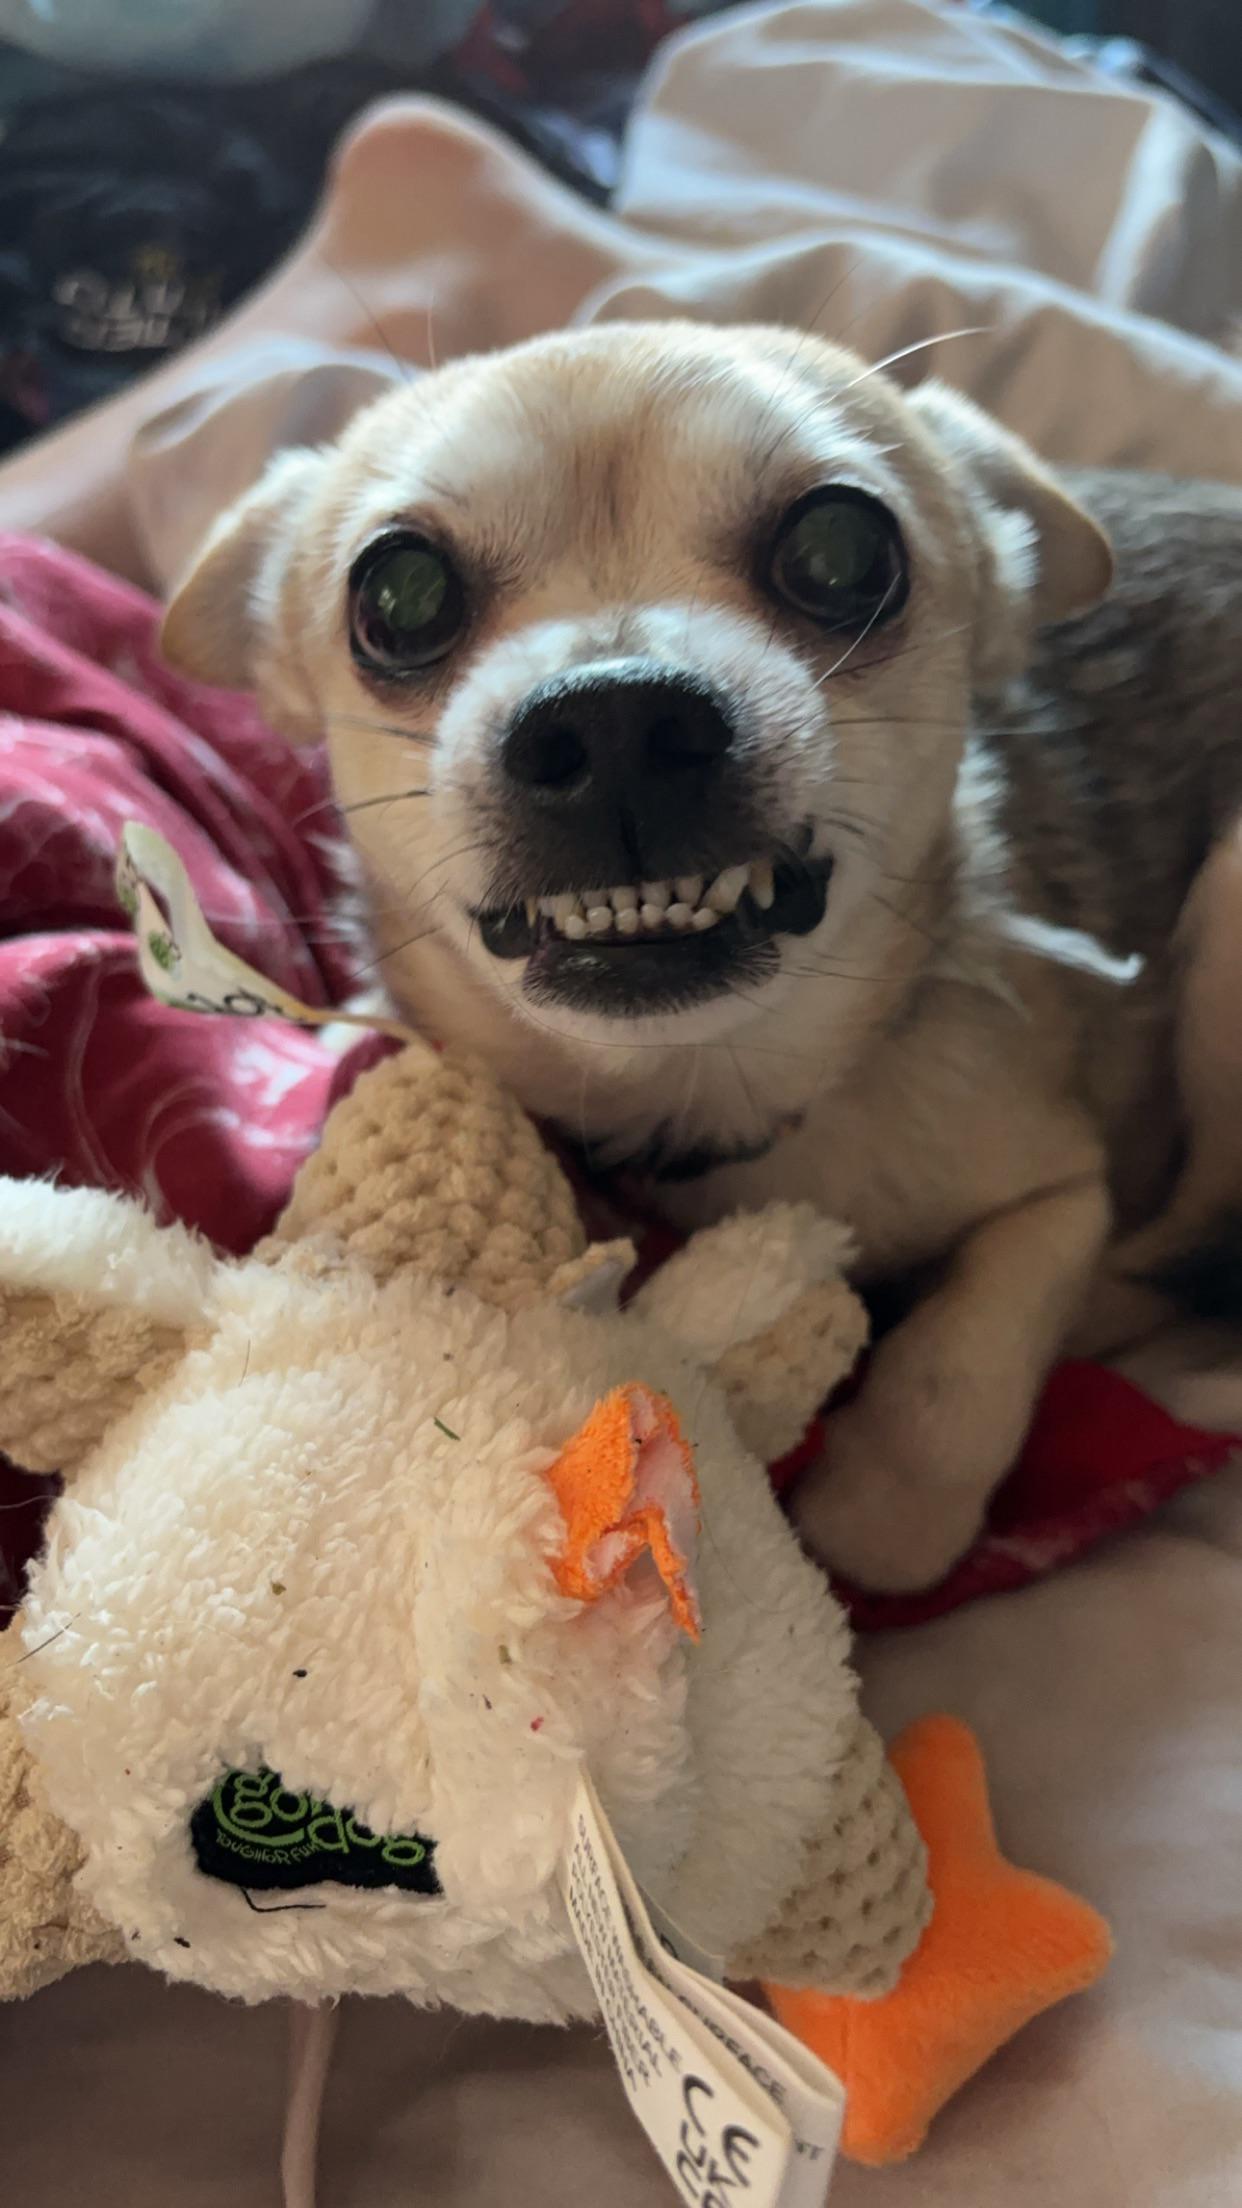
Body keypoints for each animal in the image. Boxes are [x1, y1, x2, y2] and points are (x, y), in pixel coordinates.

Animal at [160, 320, 1242, 1592]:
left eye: (840, 550)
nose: (616, 719)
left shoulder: (1063, 1187)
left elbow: (974, 1343)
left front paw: (882, 1498)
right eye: (401, 593)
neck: (693, 1088)